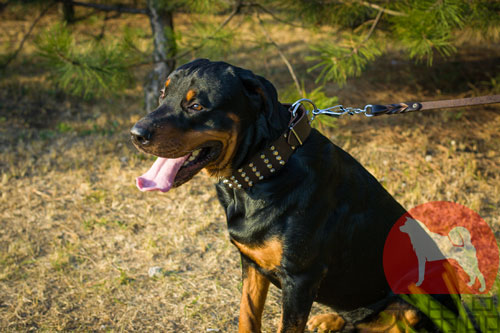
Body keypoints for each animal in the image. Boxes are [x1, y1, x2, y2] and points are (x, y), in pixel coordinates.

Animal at [132, 58, 458, 330]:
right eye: (162, 94)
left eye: (197, 106)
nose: (136, 134)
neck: (264, 168)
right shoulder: (252, 264)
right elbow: (247, 316)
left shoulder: (300, 279)